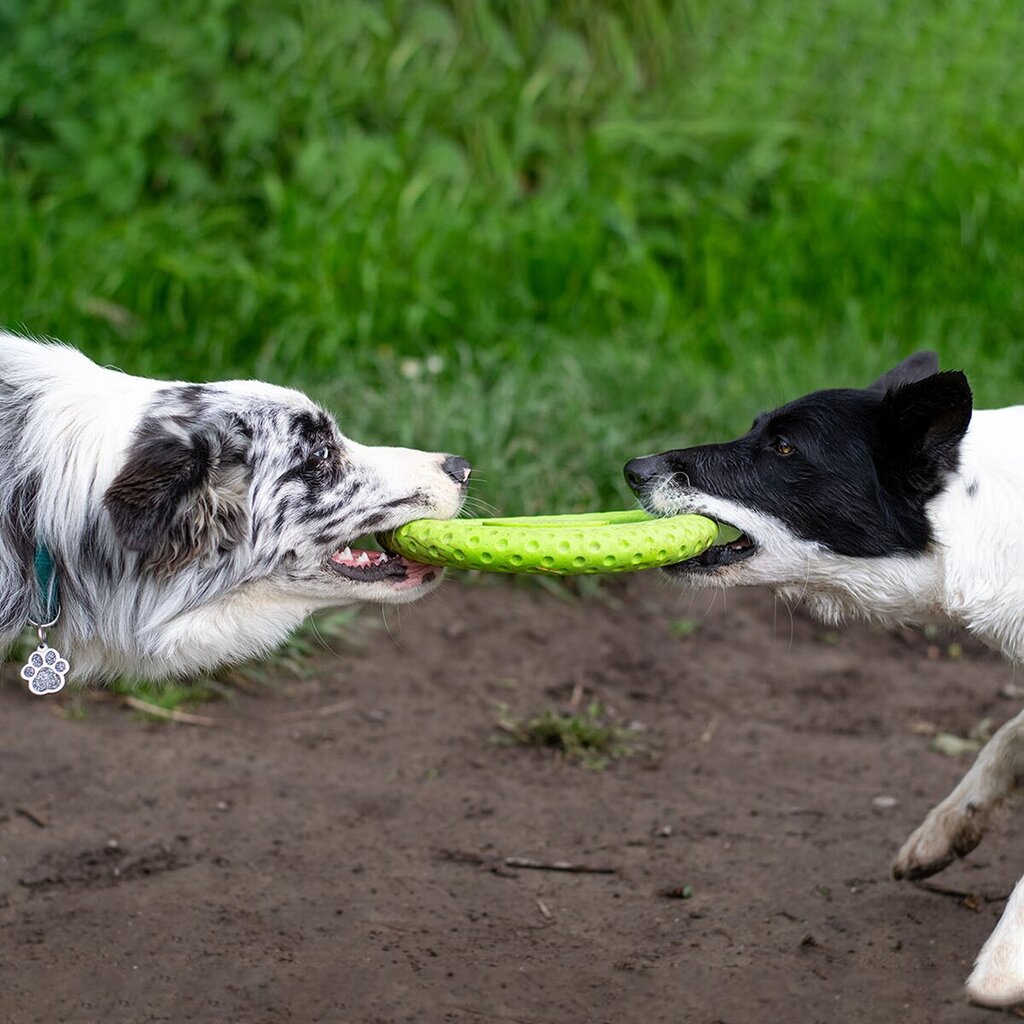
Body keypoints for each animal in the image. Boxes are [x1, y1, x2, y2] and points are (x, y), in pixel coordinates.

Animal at [626, 354, 1024, 1007]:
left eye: (785, 447)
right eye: (755, 429)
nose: (633, 470)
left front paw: (1005, 962)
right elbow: (1005, 739)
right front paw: (944, 829)